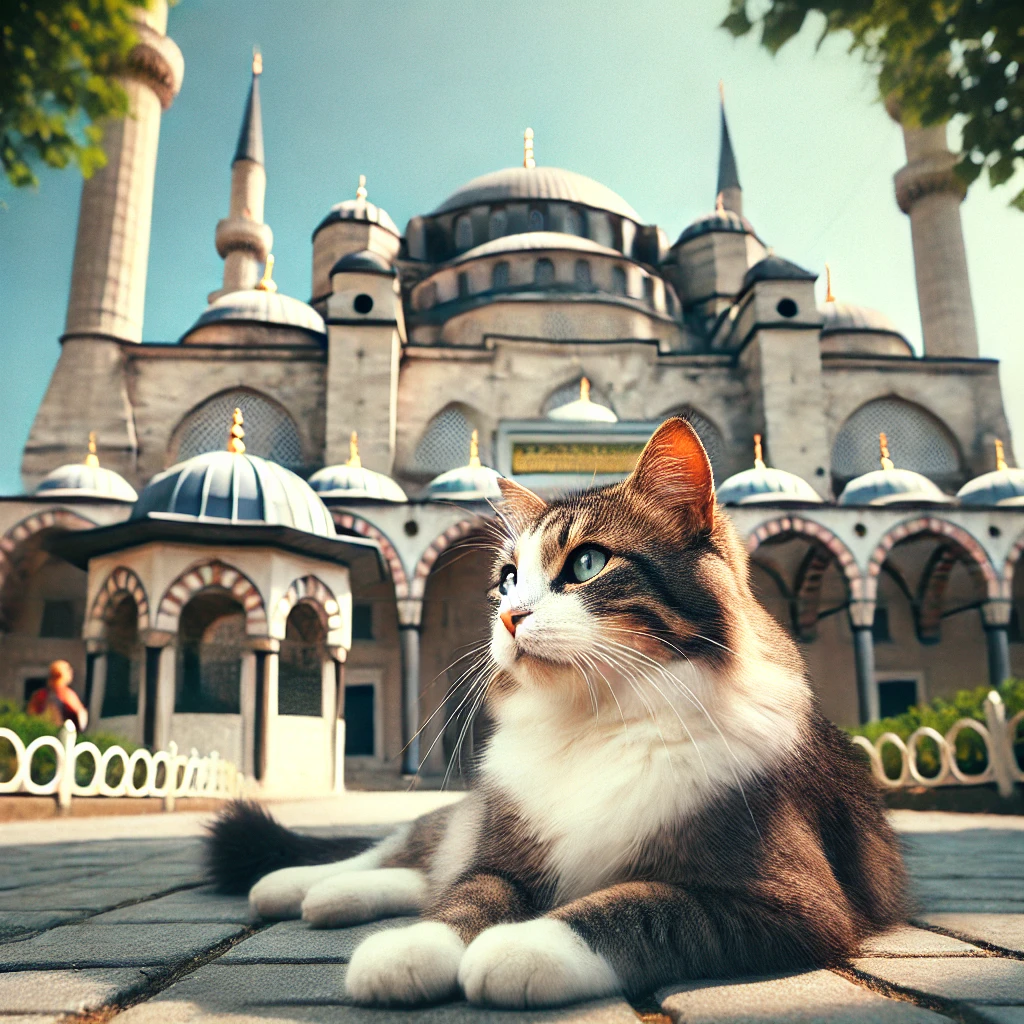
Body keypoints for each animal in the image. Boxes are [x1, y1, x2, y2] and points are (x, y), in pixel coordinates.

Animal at [205, 415, 905, 1007]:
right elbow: (469, 895)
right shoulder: (505, 851)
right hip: (468, 816)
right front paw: (415, 947)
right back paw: (301, 886)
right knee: (408, 852)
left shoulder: (789, 899)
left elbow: (641, 906)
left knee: (424, 870)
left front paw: (527, 945)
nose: (511, 616)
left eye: (588, 563)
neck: (591, 722)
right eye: (508, 579)